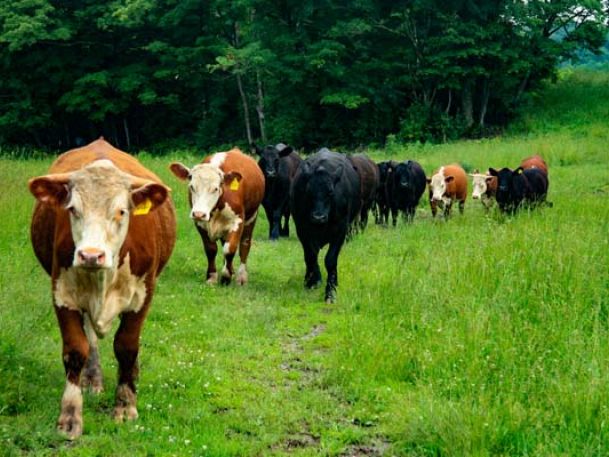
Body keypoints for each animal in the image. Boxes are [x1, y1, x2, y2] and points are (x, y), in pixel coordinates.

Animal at [28, 138, 176, 438]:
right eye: (73, 209)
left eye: (121, 211)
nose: (90, 255)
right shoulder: (62, 294)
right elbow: (76, 349)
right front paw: (70, 415)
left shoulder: (143, 295)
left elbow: (127, 347)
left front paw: (125, 406)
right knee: (90, 338)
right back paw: (92, 378)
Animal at [169, 150, 264, 284]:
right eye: (192, 187)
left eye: (215, 188)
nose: (199, 213)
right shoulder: (200, 223)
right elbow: (211, 249)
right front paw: (212, 276)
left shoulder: (238, 221)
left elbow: (230, 248)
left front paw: (226, 276)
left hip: (252, 217)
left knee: (245, 245)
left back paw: (241, 276)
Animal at [290, 147, 360, 302]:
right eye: (308, 191)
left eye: (330, 192)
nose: (318, 217)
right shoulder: (302, 230)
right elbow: (311, 255)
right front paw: (312, 281)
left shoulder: (341, 231)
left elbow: (330, 260)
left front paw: (331, 292)